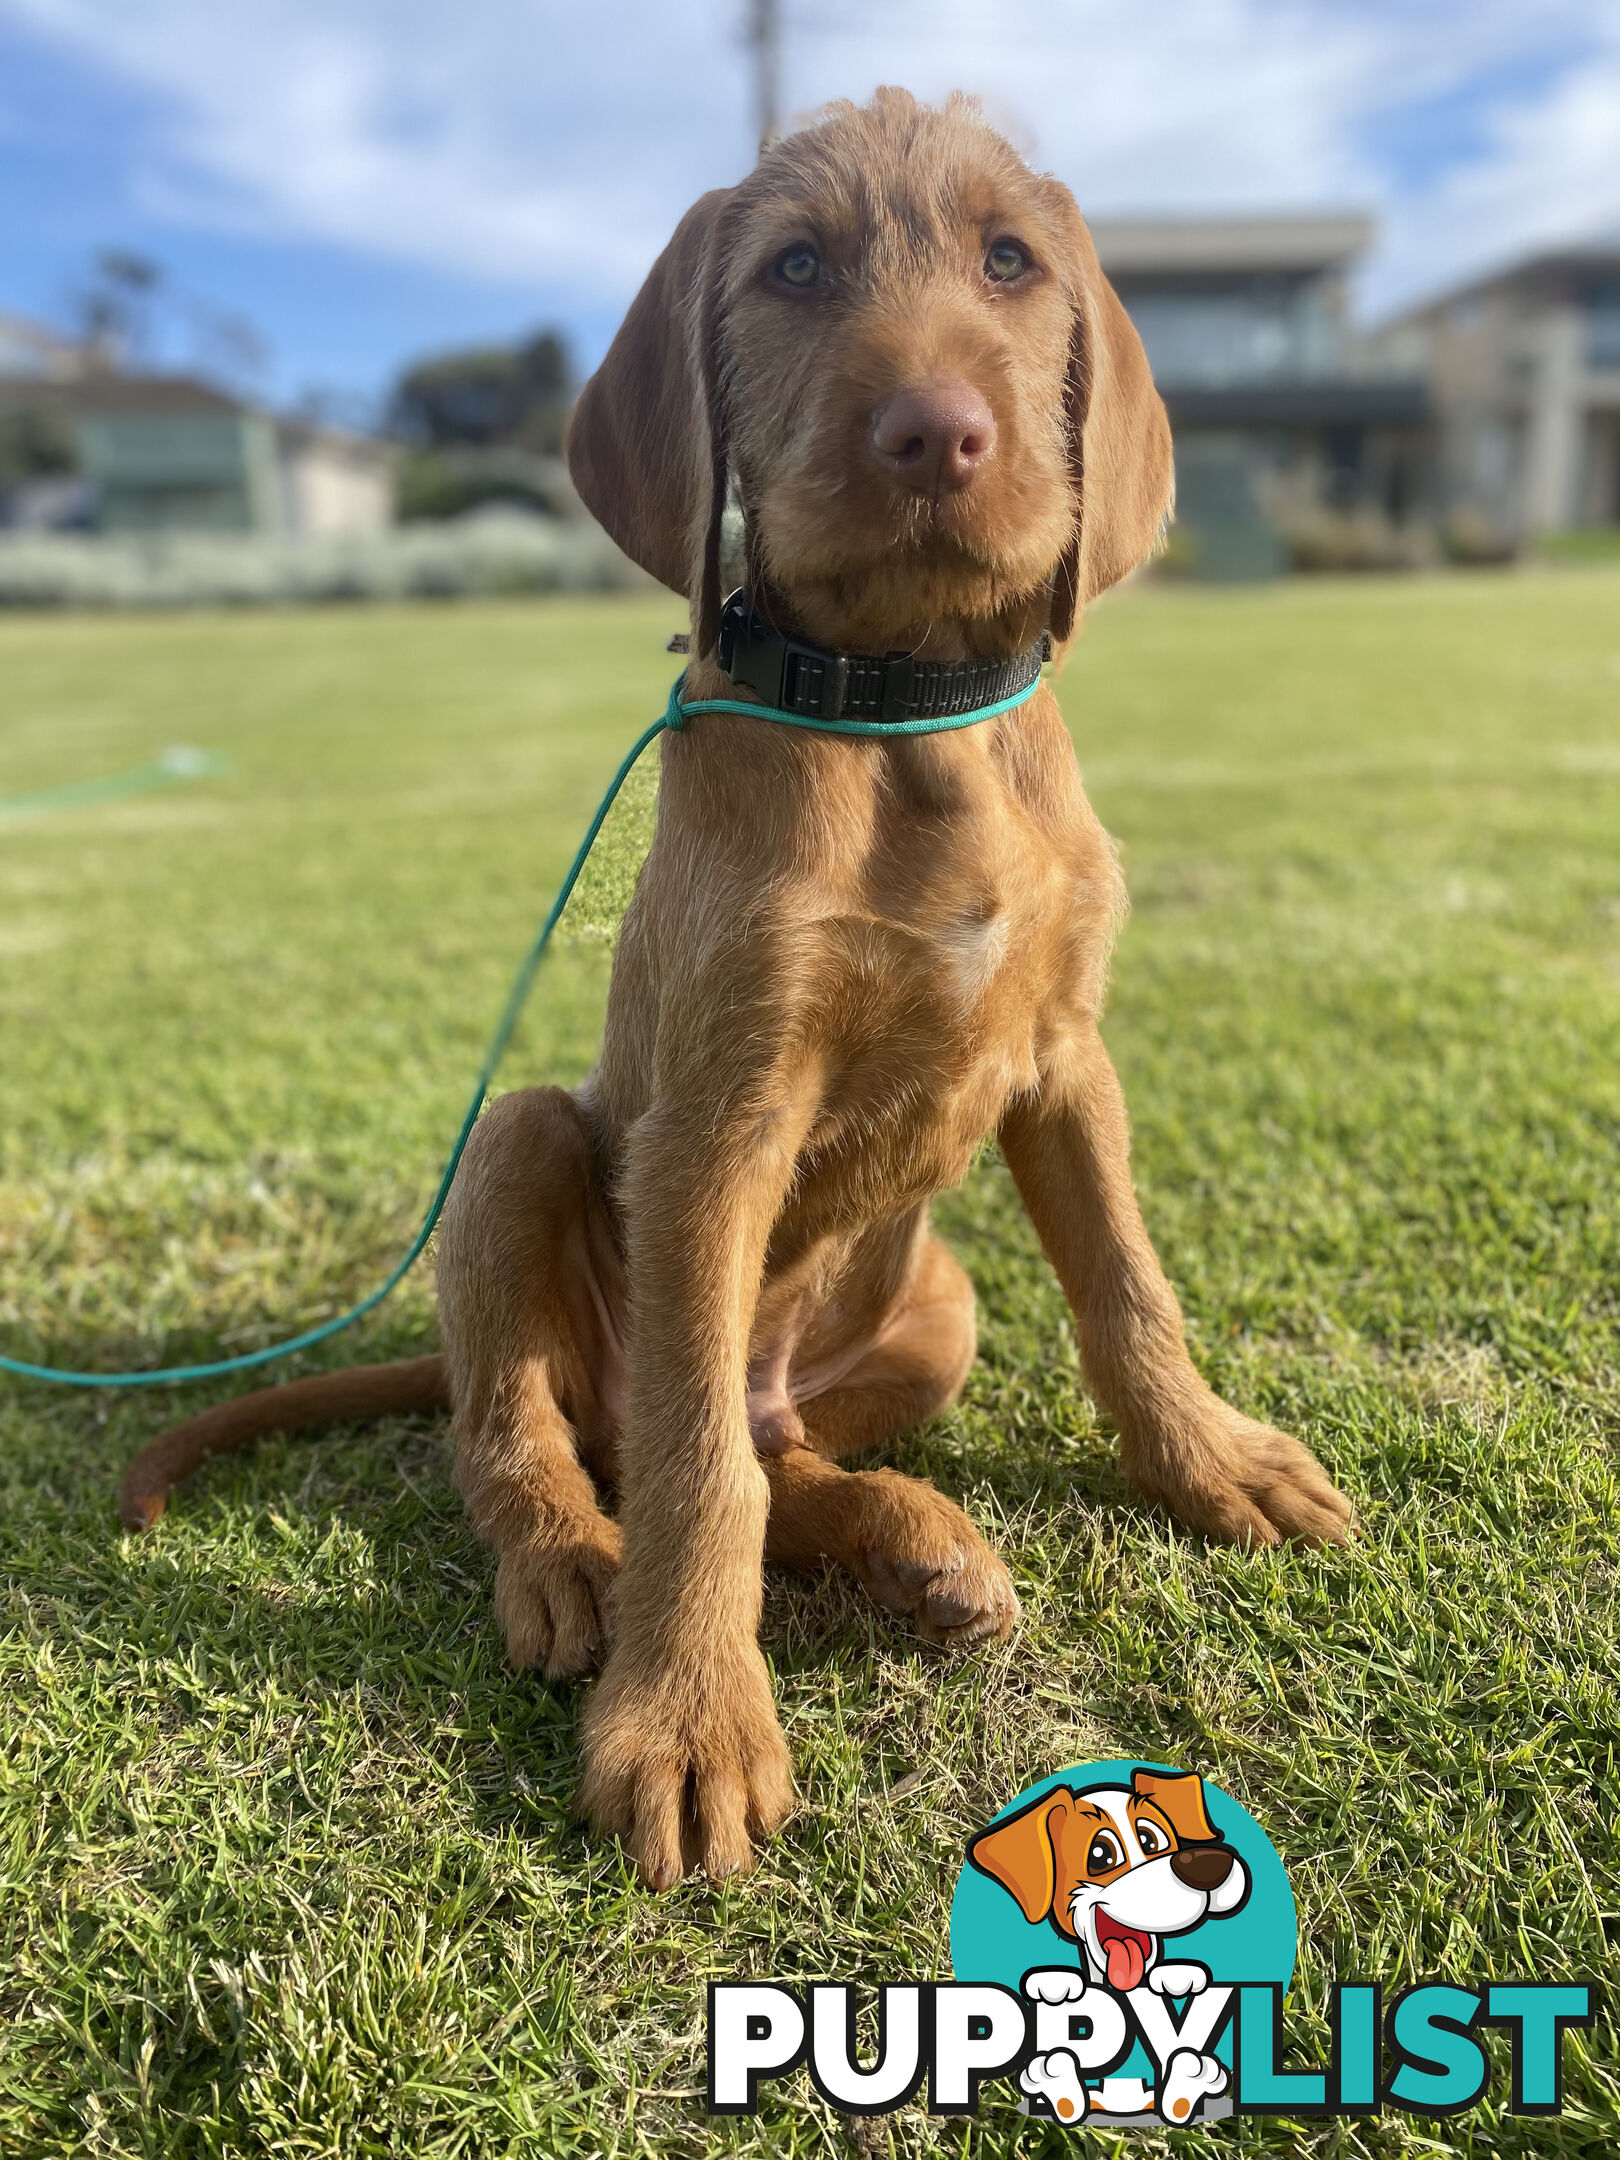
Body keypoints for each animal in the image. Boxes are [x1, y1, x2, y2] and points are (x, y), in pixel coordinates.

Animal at [120, 92, 1347, 1892]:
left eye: (1010, 262)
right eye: (797, 270)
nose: (935, 433)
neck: (909, 709)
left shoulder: (1068, 1060)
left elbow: (1131, 1291)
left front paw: (1214, 1465)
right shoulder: (717, 1127)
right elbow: (697, 1482)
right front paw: (688, 1722)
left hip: (936, 1313)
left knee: (772, 1448)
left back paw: (917, 1545)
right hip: (524, 1144)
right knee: (565, 1435)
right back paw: (571, 1565)